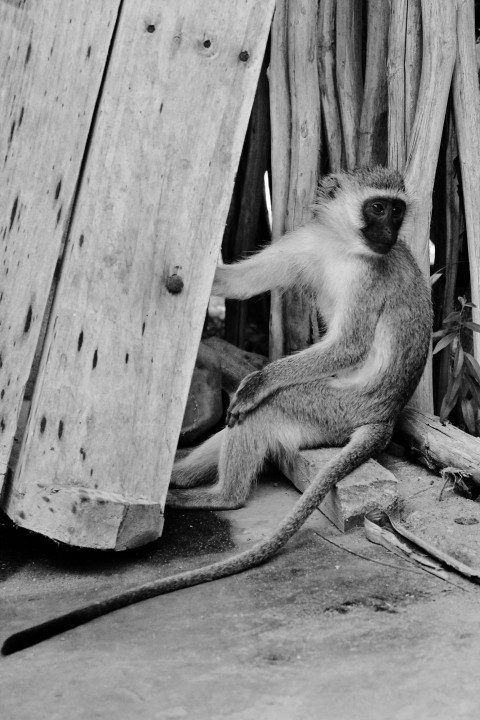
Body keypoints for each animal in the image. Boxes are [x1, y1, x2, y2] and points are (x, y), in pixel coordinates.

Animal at [1, 166, 434, 656]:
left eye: (396, 210)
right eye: (378, 207)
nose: (390, 232)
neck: (342, 245)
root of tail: (385, 417)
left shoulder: (368, 278)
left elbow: (348, 346)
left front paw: (259, 380)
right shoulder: (306, 242)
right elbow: (239, 282)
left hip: (333, 409)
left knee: (263, 412)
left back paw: (219, 494)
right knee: (235, 424)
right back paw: (177, 477)